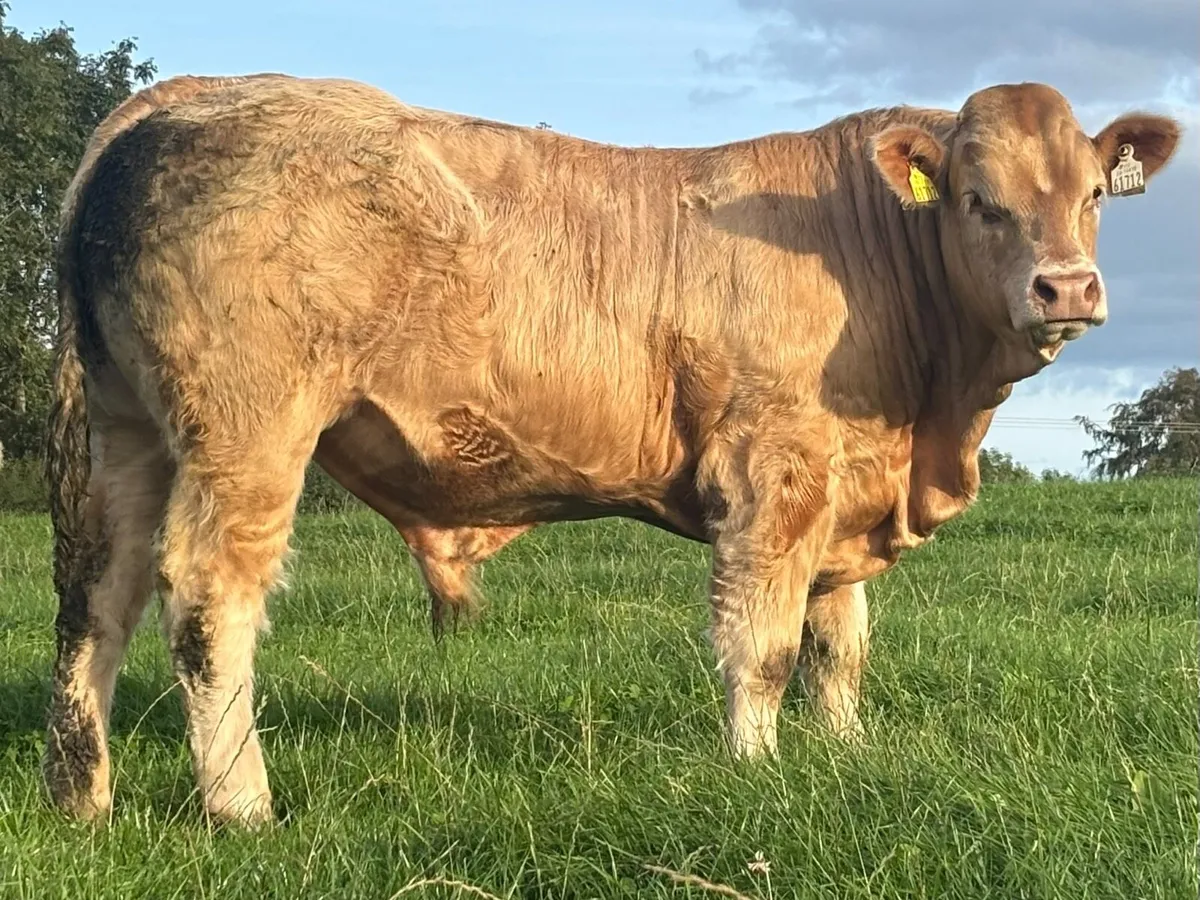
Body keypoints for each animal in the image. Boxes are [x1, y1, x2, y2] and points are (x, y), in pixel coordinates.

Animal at [43, 72, 1180, 826]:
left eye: (1090, 194)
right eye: (981, 201)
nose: (1067, 288)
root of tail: (181, 96)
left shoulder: (846, 483)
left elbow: (838, 644)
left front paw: (845, 753)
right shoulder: (772, 475)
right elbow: (765, 649)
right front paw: (758, 773)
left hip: (130, 430)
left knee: (99, 598)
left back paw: (83, 797)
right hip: (249, 430)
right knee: (206, 604)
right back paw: (243, 807)